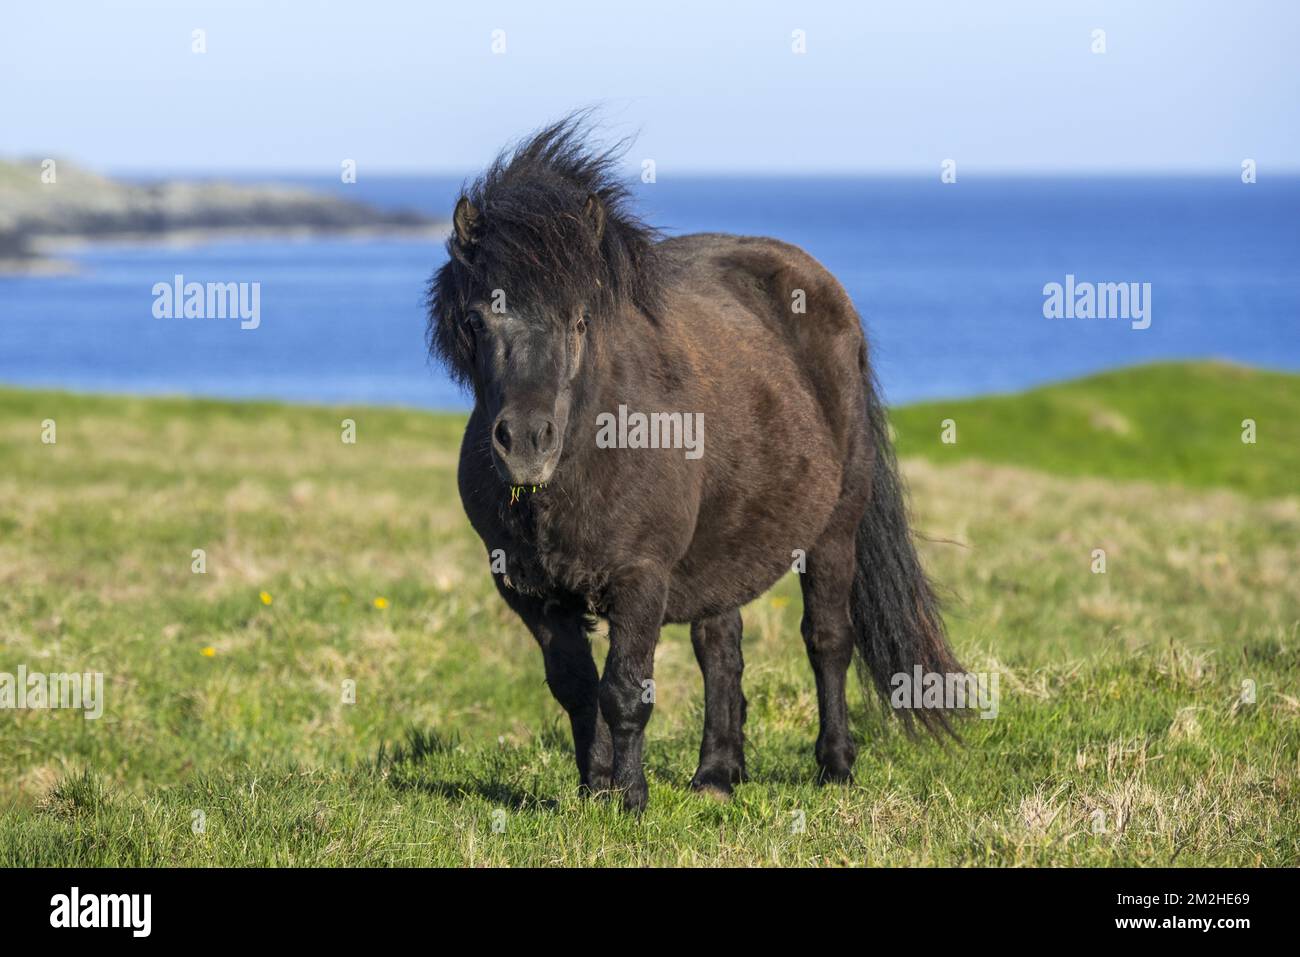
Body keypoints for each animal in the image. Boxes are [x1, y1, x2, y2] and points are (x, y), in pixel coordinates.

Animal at [431, 117, 961, 806]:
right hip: (723, 545)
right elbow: (577, 690)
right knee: (720, 649)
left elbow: (625, 693)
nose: (525, 442)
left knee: (827, 641)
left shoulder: (641, 578)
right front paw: (593, 790)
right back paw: (717, 775)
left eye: (579, 322)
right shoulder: (532, 593)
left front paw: (629, 801)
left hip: (834, 532)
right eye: (477, 320)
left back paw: (836, 767)